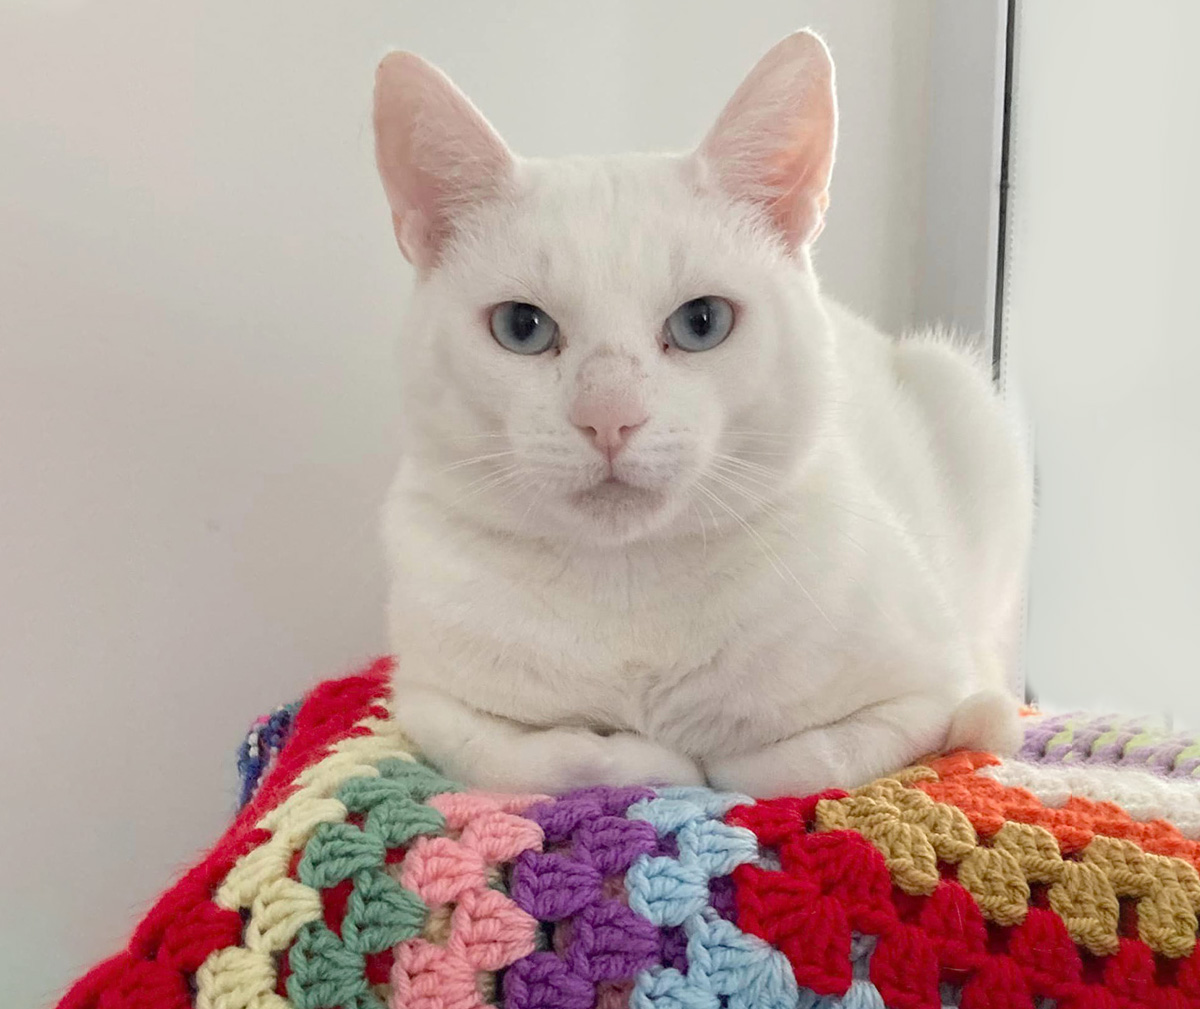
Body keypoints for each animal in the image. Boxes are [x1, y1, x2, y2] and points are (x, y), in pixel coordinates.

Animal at [372, 29, 1032, 796]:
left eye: (702, 322)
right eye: (521, 327)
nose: (609, 417)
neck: (629, 591)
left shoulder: (924, 689)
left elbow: (790, 761)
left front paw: (711, 757)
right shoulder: (426, 703)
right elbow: (554, 756)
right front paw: (653, 757)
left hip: (965, 399)